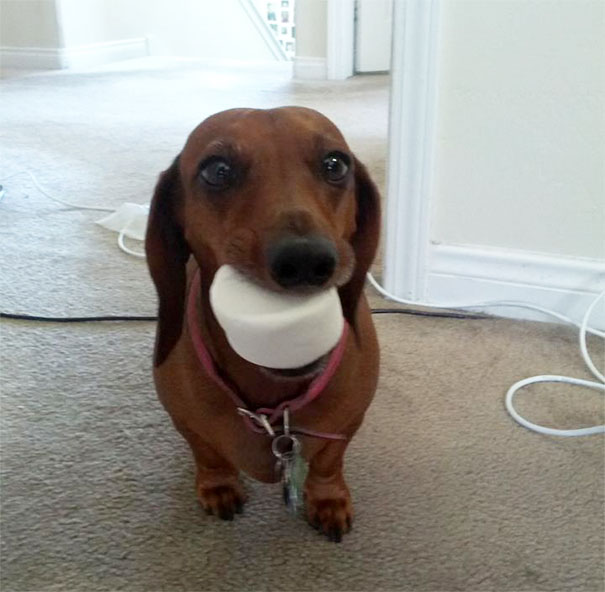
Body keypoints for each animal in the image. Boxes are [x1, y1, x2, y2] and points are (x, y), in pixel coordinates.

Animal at [146, 106, 380, 540]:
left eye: (335, 164)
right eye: (217, 170)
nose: (305, 261)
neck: (274, 400)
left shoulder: (348, 423)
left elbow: (328, 462)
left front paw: (328, 498)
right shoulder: (187, 423)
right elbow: (208, 454)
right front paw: (218, 485)